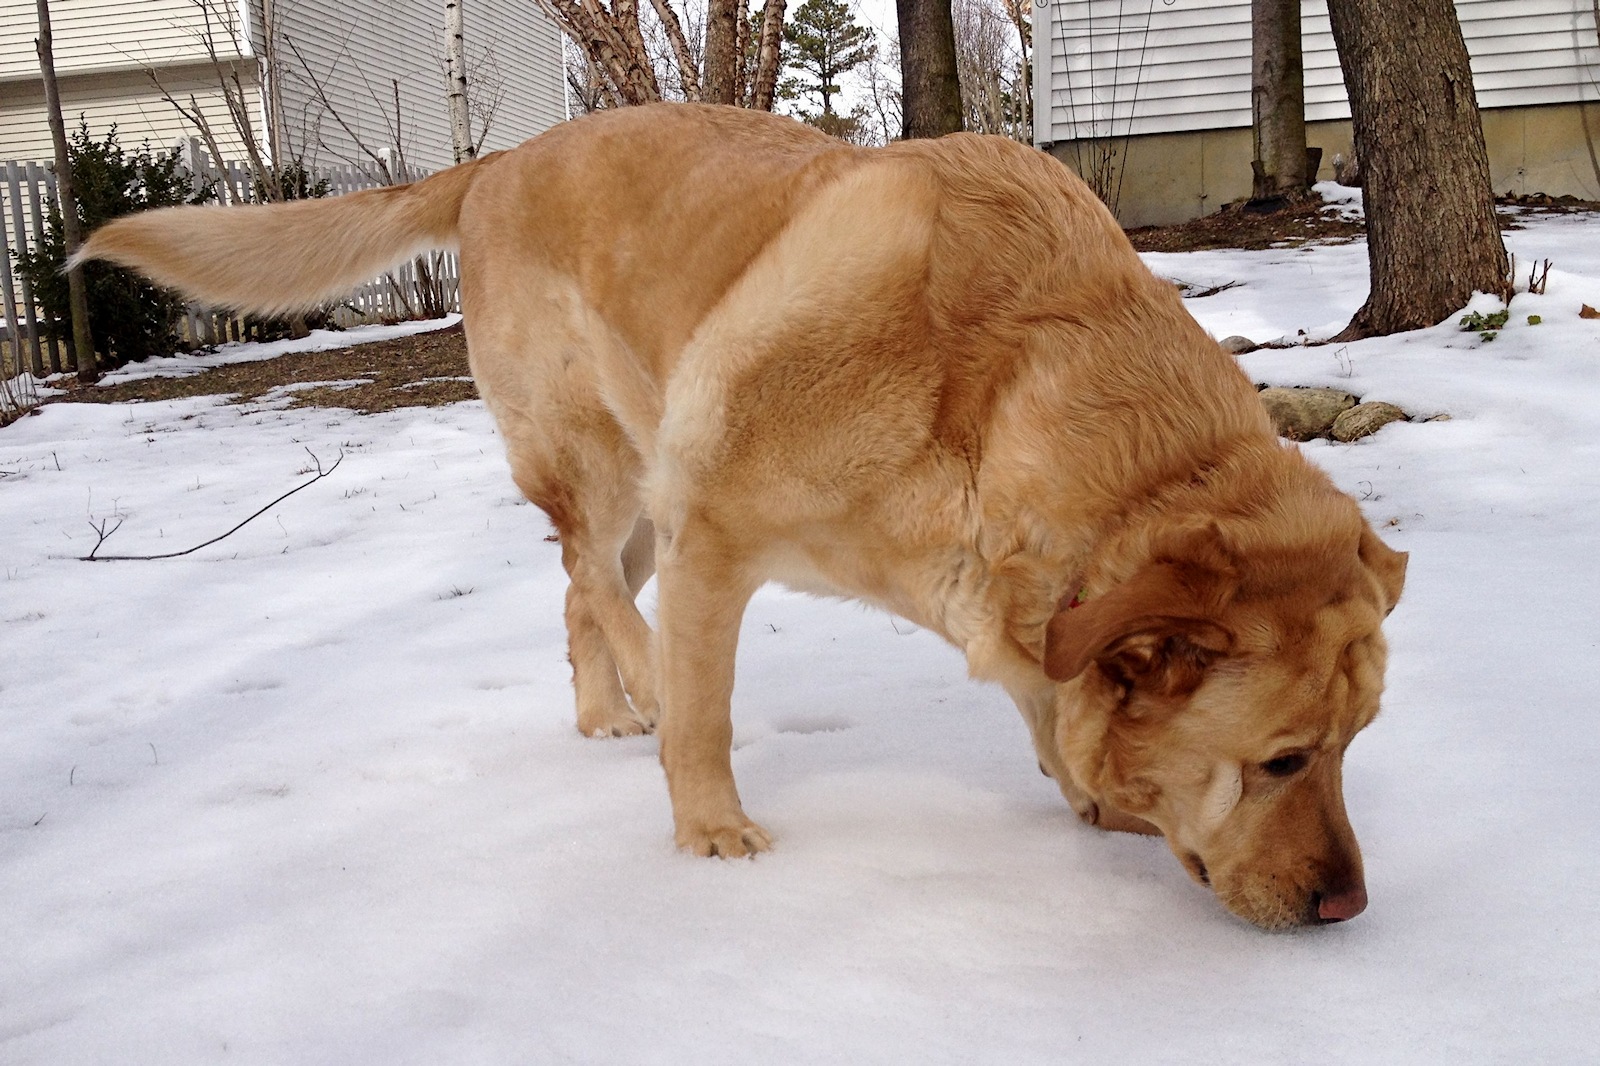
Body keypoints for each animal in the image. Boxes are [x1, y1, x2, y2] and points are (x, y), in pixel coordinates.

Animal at [81, 104, 1401, 928]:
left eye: (1353, 746)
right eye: (1282, 759)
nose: (1349, 906)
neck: (992, 398)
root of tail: (499, 159)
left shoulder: (1001, 597)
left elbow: (1048, 690)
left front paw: (1089, 794)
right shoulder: (713, 533)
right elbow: (708, 719)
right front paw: (712, 833)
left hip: (640, 492)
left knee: (575, 589)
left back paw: (601, 711)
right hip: (613, 463)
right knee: (592, 579)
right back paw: (639, 690)